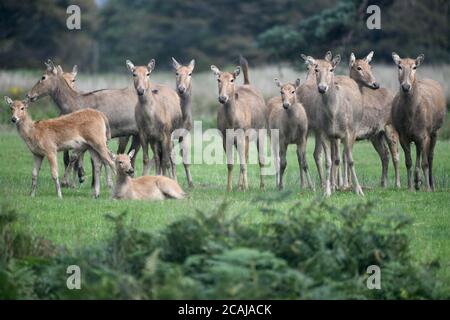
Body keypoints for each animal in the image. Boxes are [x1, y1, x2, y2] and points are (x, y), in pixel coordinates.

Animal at [211, 56, 268, 191]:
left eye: (232, 80)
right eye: (218, 79)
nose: (222, 98)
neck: (231, 123)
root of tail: (247, 83)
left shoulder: (243, 134)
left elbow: (243, 162)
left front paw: (245, 187)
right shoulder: (225, 137)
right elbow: (230, 163)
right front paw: (229, 188)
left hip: (261, 129)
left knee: (259, 158)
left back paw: (261, 186)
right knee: (245, 157)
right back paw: (239, 185)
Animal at [348, 51, 400, 189]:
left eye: (371, 67)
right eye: (358, 67)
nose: (375, 84)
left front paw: (349, 185)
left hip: (390, 126)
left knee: (396, 155)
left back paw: (397, 184)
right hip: (376, 134)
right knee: (385, 154)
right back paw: (383, 183)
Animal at [390, 52, 446, 191]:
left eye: (414, 67)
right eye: (399, 66)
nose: (406, 86)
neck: (411, 117)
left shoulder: (425, 133)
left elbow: (425, 162)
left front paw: (428, 188)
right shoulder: (403, 135)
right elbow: (408, 162)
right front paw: (410, 187)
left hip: (435, 131)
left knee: (430, 156)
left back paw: (431, 184)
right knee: (418, 151)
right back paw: (417, 181)